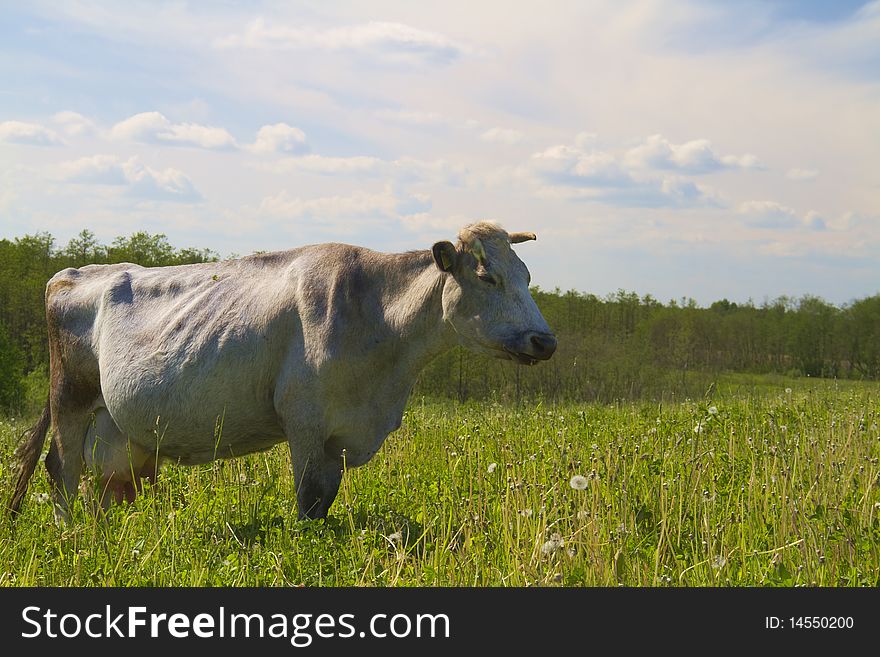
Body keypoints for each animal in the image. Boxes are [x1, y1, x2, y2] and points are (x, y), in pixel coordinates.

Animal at [6, 220, 556, 524]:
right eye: (487, 275)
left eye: (528, 275)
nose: (544, 340)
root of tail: (74, 271)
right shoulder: (305, 421)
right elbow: (308, 501)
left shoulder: (338, 434)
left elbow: (325, 500)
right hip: (69, 399)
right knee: (61, 469)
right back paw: (70, 534)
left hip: (114, 423)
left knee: (104, 481)